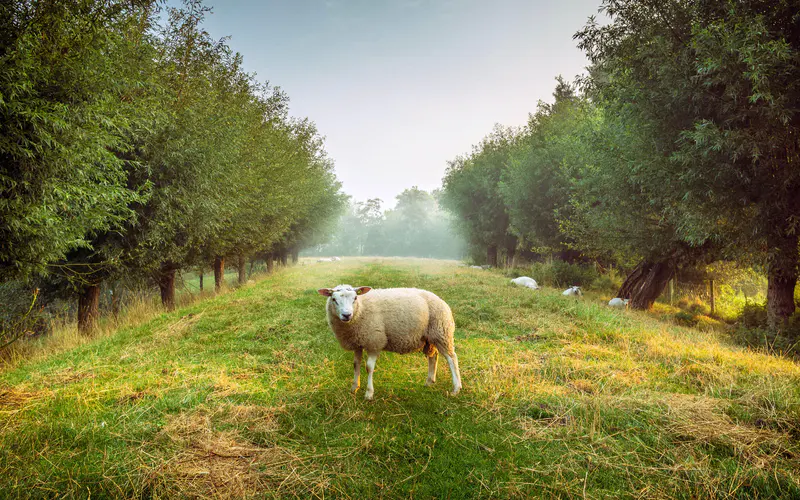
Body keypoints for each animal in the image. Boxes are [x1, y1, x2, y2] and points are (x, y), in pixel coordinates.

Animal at [316, 284, 460, 400]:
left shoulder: (374, 341)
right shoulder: (358, 342)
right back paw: (429, 381)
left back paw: (456, 388)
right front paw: (354, 388)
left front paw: (369, 393)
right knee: (433, 356)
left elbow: (369, 367)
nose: (347, 315)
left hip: (442, 332)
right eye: (334, 299)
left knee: (452, 358)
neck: (361, 309)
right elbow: (356, 365)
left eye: (355, 298)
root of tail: (440, 299)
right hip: (429, 338)